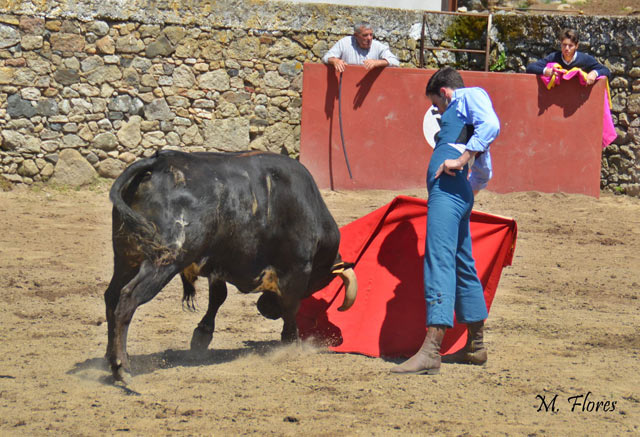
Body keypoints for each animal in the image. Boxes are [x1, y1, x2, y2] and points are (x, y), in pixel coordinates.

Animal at [102, 151, 358, 382]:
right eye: (316, 282)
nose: (266, 309)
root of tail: (159, 161)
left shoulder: (220, 263)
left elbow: (218, 297)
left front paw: (202, 336)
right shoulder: (297, 268)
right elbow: (290, 307)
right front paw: (290, 343)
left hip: (125, 258)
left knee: (112, 296)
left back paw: (110, 358)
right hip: (164, 261)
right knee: (128, 299)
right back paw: (122, 367)